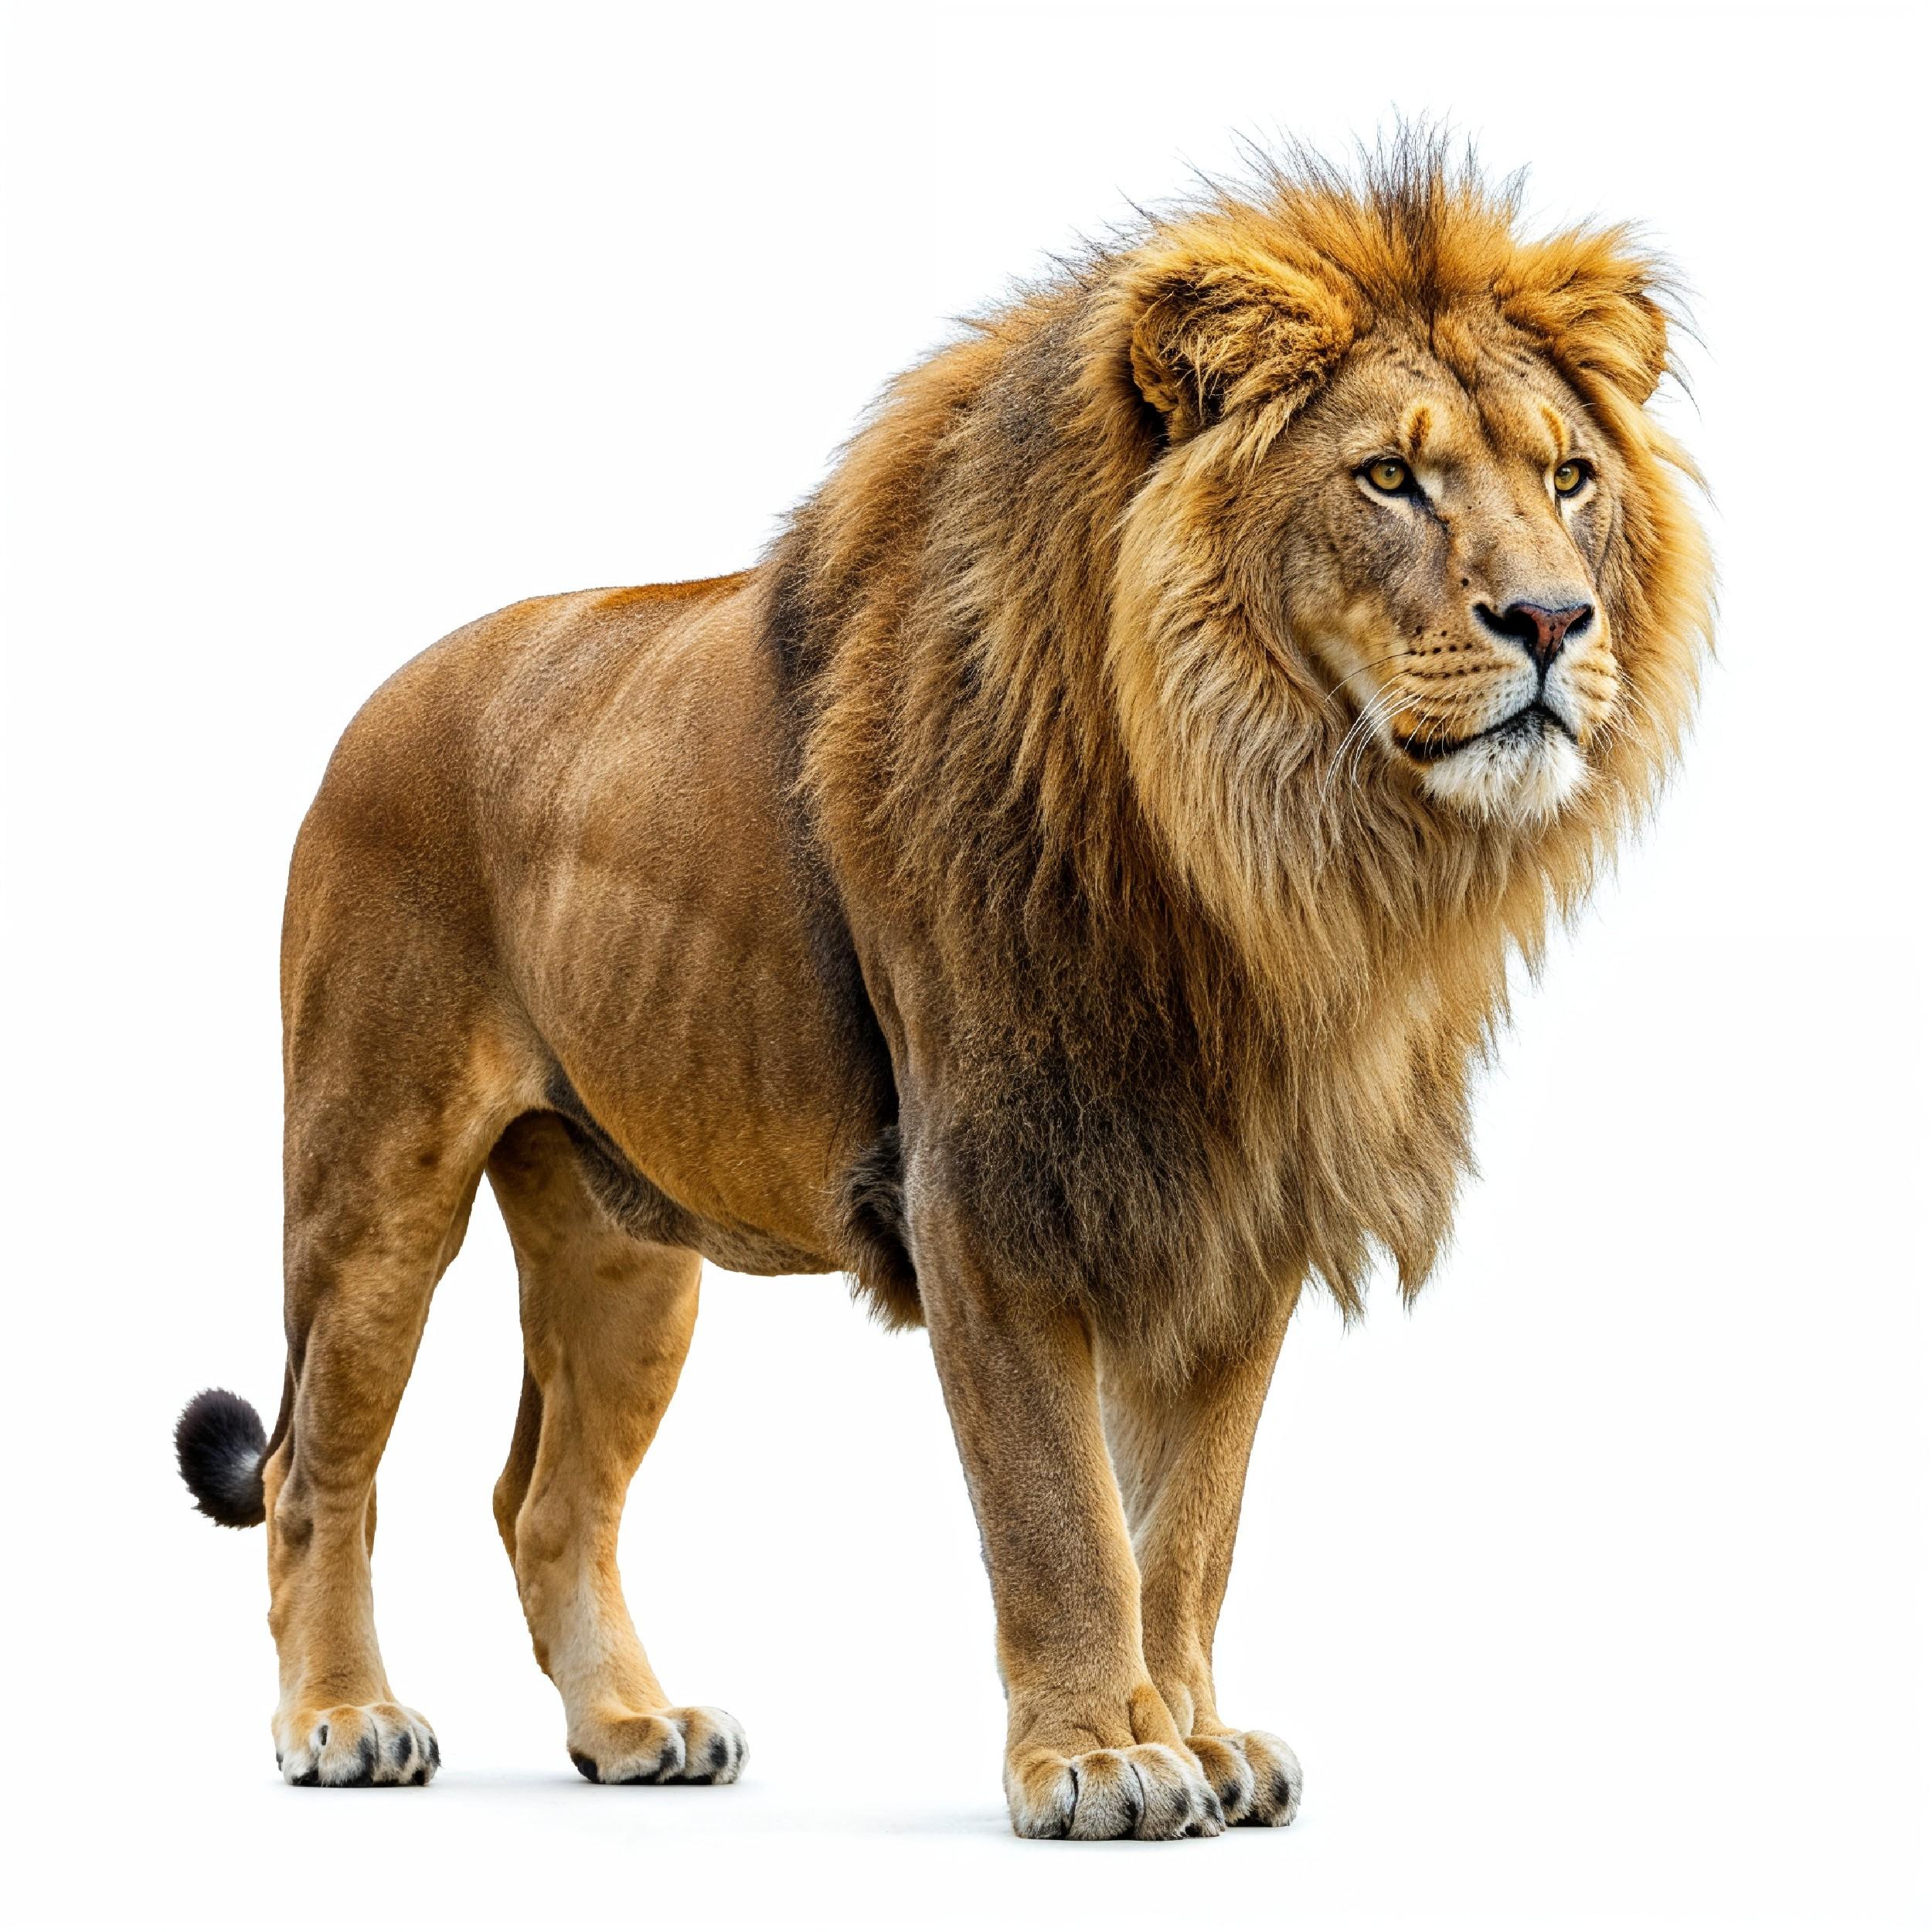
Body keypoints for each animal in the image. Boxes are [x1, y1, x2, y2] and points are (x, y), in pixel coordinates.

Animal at [175, 140, 1711, 1838]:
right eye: (1389, 478)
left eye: (1566, 479)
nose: (1553, 621)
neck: (1263, 846)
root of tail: (381, 698)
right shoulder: (989, 1190)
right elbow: (1060, 1514)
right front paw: (1098, 1758)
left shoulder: (1239, 1207)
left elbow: (1187, 1525)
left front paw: (1197, 1736)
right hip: (372, 1178)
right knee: (316, 1469)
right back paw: (344, 1717)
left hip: (624, 1241)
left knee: (545, 1497)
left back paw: (633, 1725)